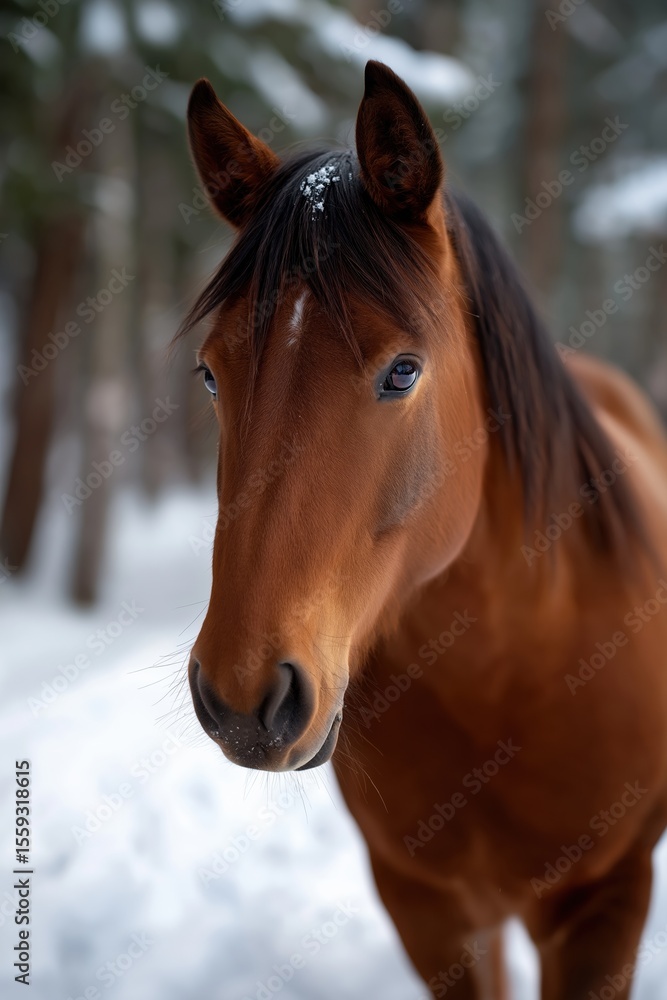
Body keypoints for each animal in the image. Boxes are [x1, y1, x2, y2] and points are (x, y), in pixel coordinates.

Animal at [180, 60, 667, 999]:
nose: (242, 700)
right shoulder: (427, 908)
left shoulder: (604, 904)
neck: (512, 676)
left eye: (402, 372)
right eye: (210, 374)